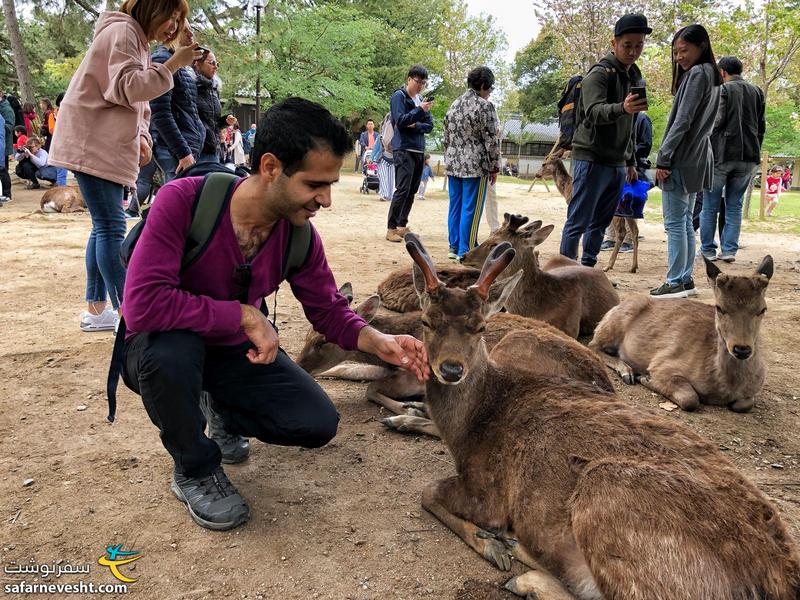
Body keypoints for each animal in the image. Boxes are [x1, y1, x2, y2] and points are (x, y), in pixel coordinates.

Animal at [296, 282, 616, 436]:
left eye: (323, 340)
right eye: (307, 331)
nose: (300, 366)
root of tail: (606, 387)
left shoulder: (417, 374)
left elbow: (371, 389)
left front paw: (406, 407)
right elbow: (349, 369)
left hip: (509, 352)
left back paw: (404, 419)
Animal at [592, 255, 772, 414]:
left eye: (763, 309)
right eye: (719, 307)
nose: (741, 349)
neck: (723, 388)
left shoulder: (753, 390)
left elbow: (745, 404)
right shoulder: (662, 365)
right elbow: (690, 398)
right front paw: (645, 378)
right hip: (614, 321)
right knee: (593, 346)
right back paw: (627, 372)